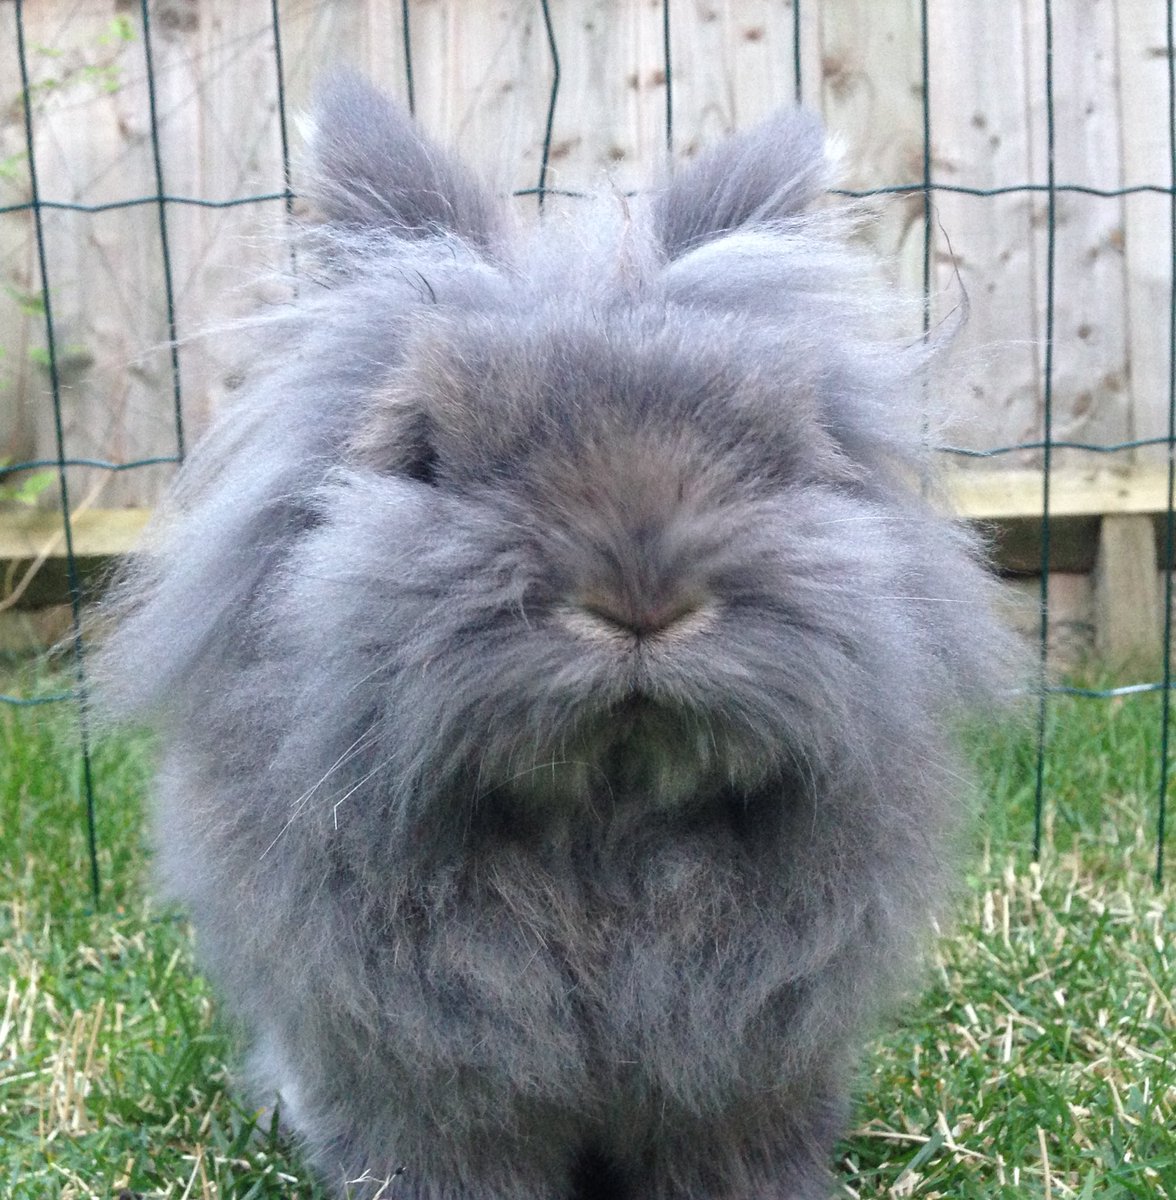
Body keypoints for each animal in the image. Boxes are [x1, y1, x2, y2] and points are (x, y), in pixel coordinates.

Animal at [98, 72, 1015, 1200]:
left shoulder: (749, 1075)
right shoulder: (419, 1085)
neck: (603, 823)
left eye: (772, 454)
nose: (640, 597)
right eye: (426, 457)